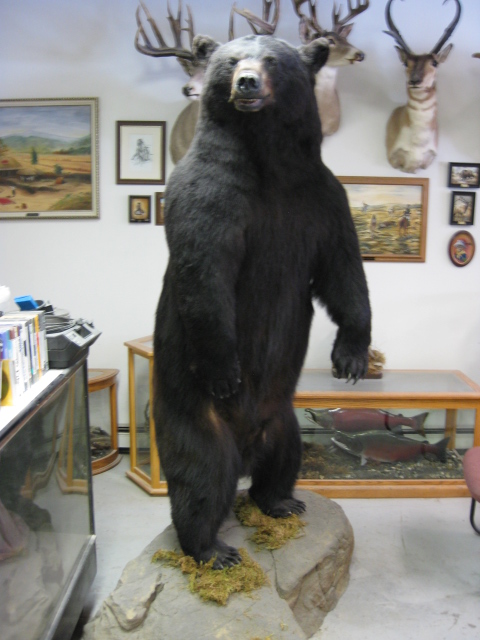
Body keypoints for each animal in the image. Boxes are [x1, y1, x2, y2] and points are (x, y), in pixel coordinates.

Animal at [153, 34, 371, 569]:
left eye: (274, 60)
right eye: (230, 60)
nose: (246, 82)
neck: (270, 165)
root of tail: (246, 446)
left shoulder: (320, 197)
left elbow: (343, 268)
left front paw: (351, 358)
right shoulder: (210, 193)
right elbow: (205, 272)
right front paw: (224, 370)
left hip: (284, 418)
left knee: (284, 461)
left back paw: (281, 502)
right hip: (195, 421)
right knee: (201, 481)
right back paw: (212, 549)